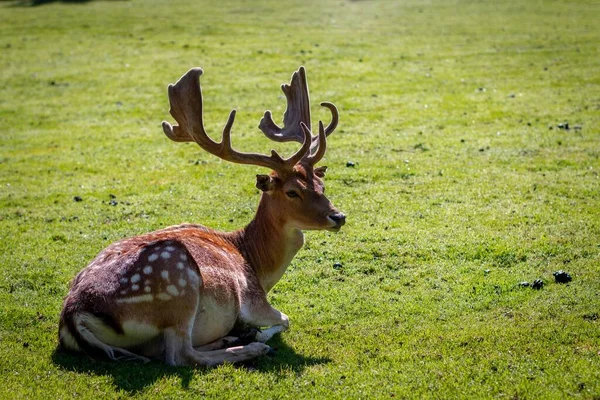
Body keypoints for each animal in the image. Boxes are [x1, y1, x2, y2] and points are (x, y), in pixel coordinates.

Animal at [59, 67, 346, 368]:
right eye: (292, 192)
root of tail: (73, 315)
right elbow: (285, 319)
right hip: (179, 289)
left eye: (321, 184)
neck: (254, 261)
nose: (338, 216)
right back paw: (251, 347)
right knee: (180, 355)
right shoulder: (252, 298)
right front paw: (258, 335)